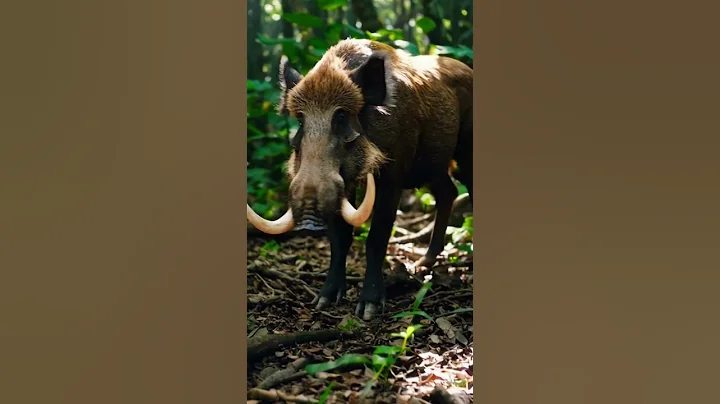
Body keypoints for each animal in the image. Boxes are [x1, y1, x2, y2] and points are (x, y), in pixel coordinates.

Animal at [247, 39, 473, 320]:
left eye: (342, 116)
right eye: (300, 120)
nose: (309, 221)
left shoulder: (393, 175)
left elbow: (376, 237)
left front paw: (368, 309)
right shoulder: (342, 186)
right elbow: (340, 238)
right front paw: (323, 301)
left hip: (463, 153)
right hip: (433, 168)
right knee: (448, 191)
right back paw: (423, 264)